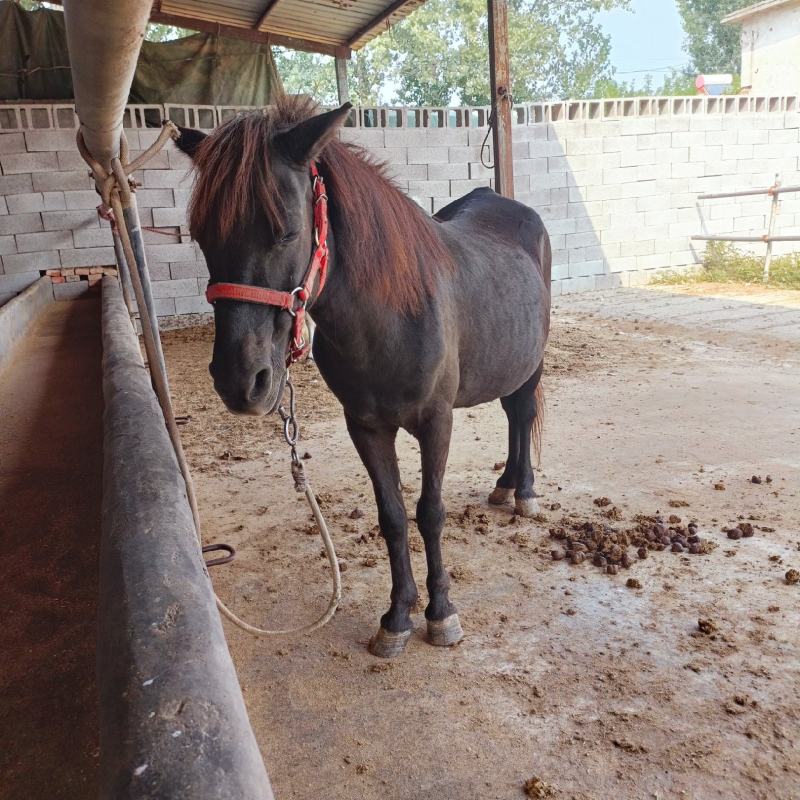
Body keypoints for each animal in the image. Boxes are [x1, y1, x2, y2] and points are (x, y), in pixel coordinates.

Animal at [175, 96, 551, 658]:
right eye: (201, 237)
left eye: (285, 230)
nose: (240, 382)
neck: (390, 317)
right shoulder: (366, 426)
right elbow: (392, 516)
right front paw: (397, 617)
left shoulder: (436, 421)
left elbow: (430, 512)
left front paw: (442, 615)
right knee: (509, 414)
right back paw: (505, 486)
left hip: (533, 361)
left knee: (522, 412)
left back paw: (523, 491)